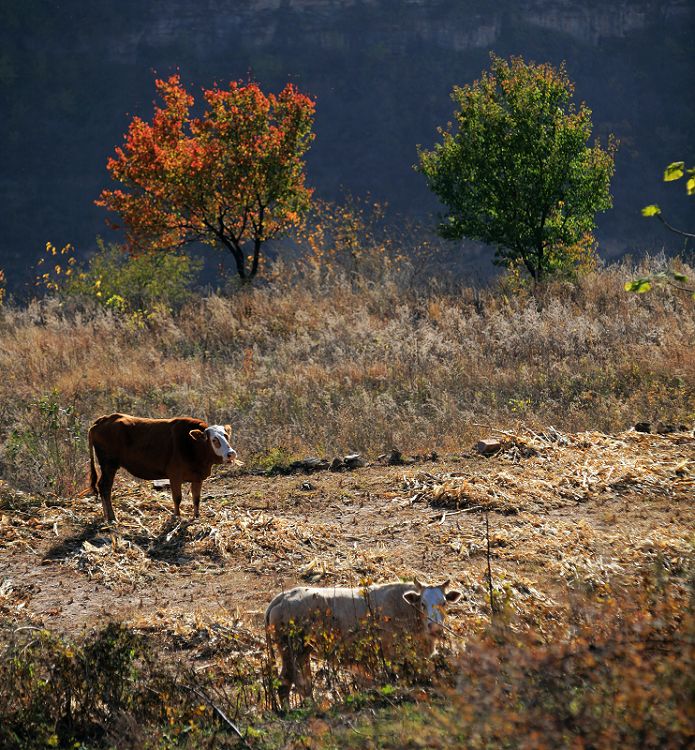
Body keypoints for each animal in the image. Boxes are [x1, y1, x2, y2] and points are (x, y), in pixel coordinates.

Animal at [88, 418, 237, 524]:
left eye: (226, 436)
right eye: (214, 439)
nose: (231, 454)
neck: (192, 446)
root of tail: (103, 420)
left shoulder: (197, 477)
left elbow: (196, 499)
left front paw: (196, 516)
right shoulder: (175, 476)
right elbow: (177, 498)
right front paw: (177, 517)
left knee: (102, 487)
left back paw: (106, 516)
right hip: (109, 464)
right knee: (105, 487)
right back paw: (112, 518)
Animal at [266, 580, 462, 708]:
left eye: (444, 603)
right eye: (422, 603)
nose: (435, 627)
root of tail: (283, 596)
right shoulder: (395, 656)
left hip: (298, 654)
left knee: (296, 684)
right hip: (293, 652)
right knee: (291, 683)